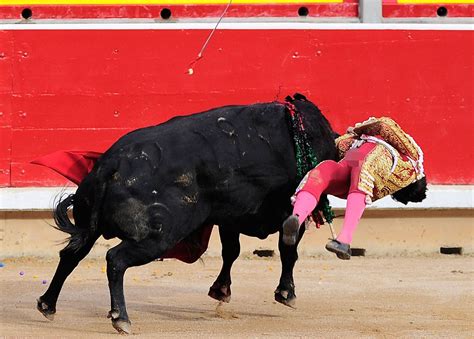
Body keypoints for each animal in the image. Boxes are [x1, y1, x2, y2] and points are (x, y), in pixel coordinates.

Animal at [37, 94, 336, 336]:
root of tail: (111, 164)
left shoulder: (229, 215)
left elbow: (232, 251)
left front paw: (220, 290)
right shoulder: (286, 213)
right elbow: (288, 250)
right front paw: (286, 293)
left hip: (90, 225)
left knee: (71, 255)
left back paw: (47, 305)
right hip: (158, 236)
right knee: (115, 259)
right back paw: (121, 319)